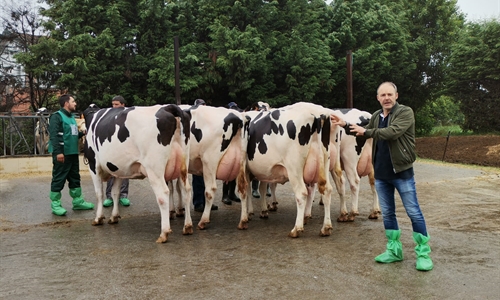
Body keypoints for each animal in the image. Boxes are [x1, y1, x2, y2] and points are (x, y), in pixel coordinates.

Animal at [83, 104, 192, 243]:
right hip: (184, 165)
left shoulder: (93, 165)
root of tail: (168, 107)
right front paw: (114, 217)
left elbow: (99, 194)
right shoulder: (119, 169)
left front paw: (98, 218)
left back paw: (164, 233)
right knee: (186, 190)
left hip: (154, 168)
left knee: (163, 194)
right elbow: (115, 193)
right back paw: (187, 226)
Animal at [242, 102, 336, 238]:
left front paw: (249, 213)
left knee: (301, 193)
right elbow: (262, 188)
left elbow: (248, 190)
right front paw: (263, 210)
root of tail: (317, 114)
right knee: (326, 190)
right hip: (324, 161)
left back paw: (297, 228)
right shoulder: (264, 170)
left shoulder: (246, 169)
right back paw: (326, 228)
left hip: (294, 168)